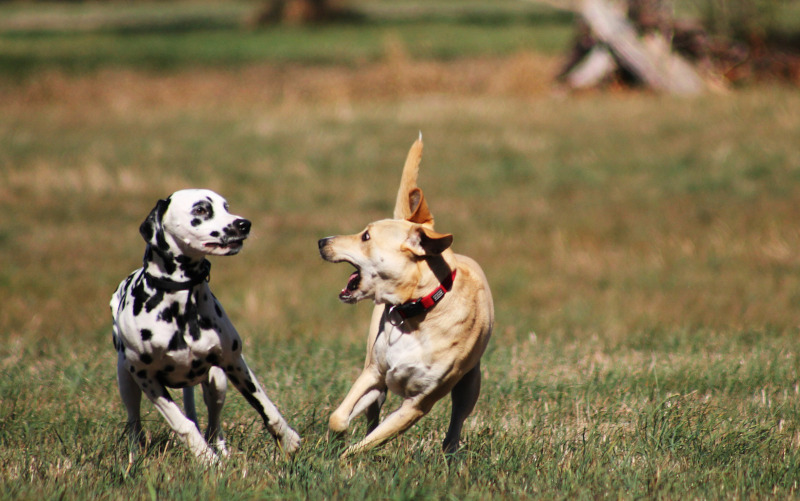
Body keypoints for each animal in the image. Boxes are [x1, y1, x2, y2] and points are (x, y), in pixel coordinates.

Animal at [109, 189, 300, 462]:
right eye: (200, 210)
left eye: (226, 207)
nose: (244, 224)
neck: (180, 308)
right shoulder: (147, 379)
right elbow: (183, 424)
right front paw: (206, 459)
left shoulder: (234, 363)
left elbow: (265, 406)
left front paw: (287, 438)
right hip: (127, 381)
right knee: (134, 422)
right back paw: (135, 455)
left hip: (217, 383)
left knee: (213, 425)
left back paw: (222, 450)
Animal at [318, 135, 494, 456]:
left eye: (366, 236)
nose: (322, 241)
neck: (415, 312)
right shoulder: (374, 373)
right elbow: (339, 417)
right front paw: (335, 444)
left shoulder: (418, 404)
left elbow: (370, 442)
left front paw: (347, 456)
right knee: (372, 413)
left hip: (470, 383)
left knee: (457, 421)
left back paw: (450, 452)